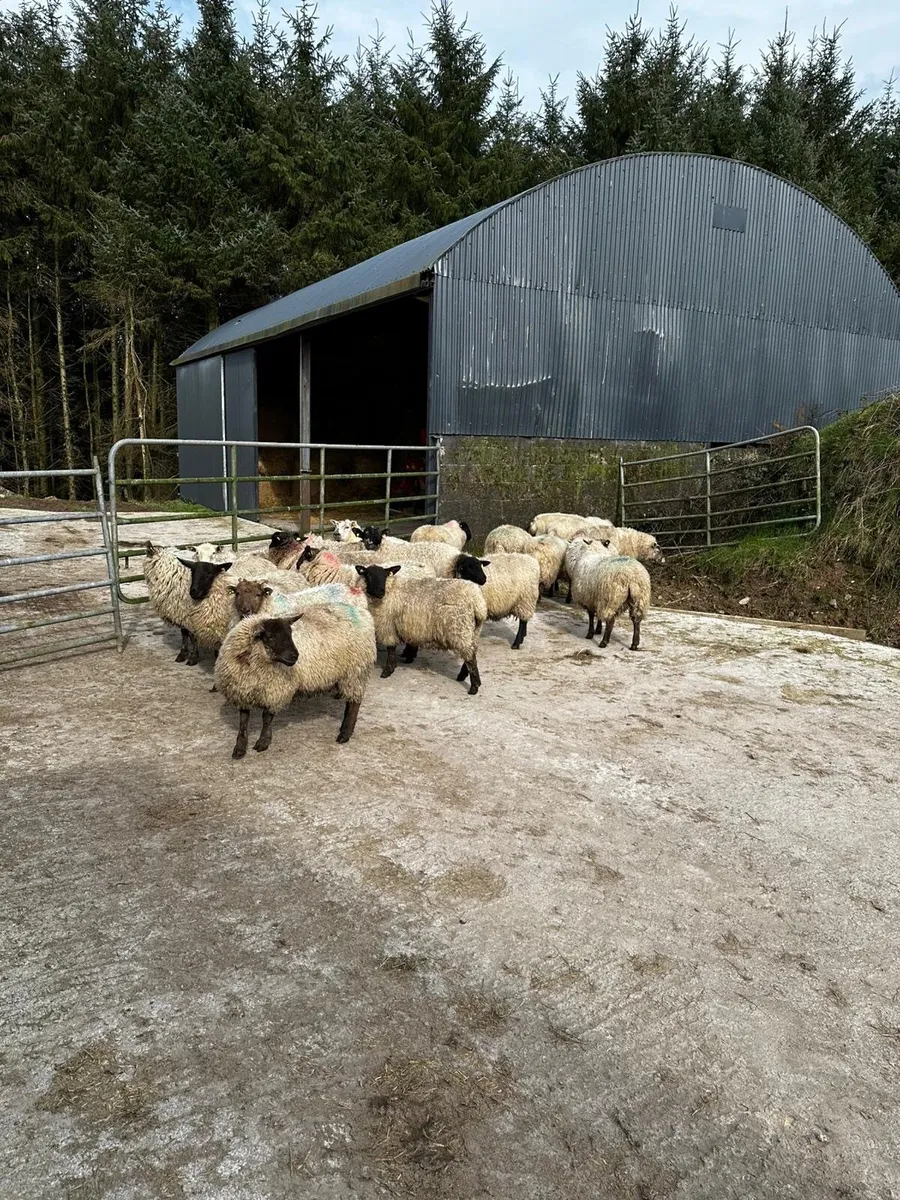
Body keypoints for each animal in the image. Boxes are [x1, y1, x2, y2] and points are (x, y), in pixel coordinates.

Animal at [214, 603, 378, 757]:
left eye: (291, 634)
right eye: (271, 637)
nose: (295, 656)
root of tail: (362, 612)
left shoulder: (275, 690)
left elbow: (266, 718)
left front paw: (263, 742)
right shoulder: (242, 690)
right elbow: (243, 722)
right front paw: (240, 748)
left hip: (355, 672)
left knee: (354, 704)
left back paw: (345, 733)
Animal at [352, 564, 488, 694]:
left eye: (385, 575)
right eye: (369, 575)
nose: (381, 592)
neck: (389, 589)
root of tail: (478, 602)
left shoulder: (387, 626)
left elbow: (391, 649)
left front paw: (387, 671)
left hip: (461, 629)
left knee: (470, 658)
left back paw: (474, 687)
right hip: (473, 631)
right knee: (471, 654)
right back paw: (463, 676)